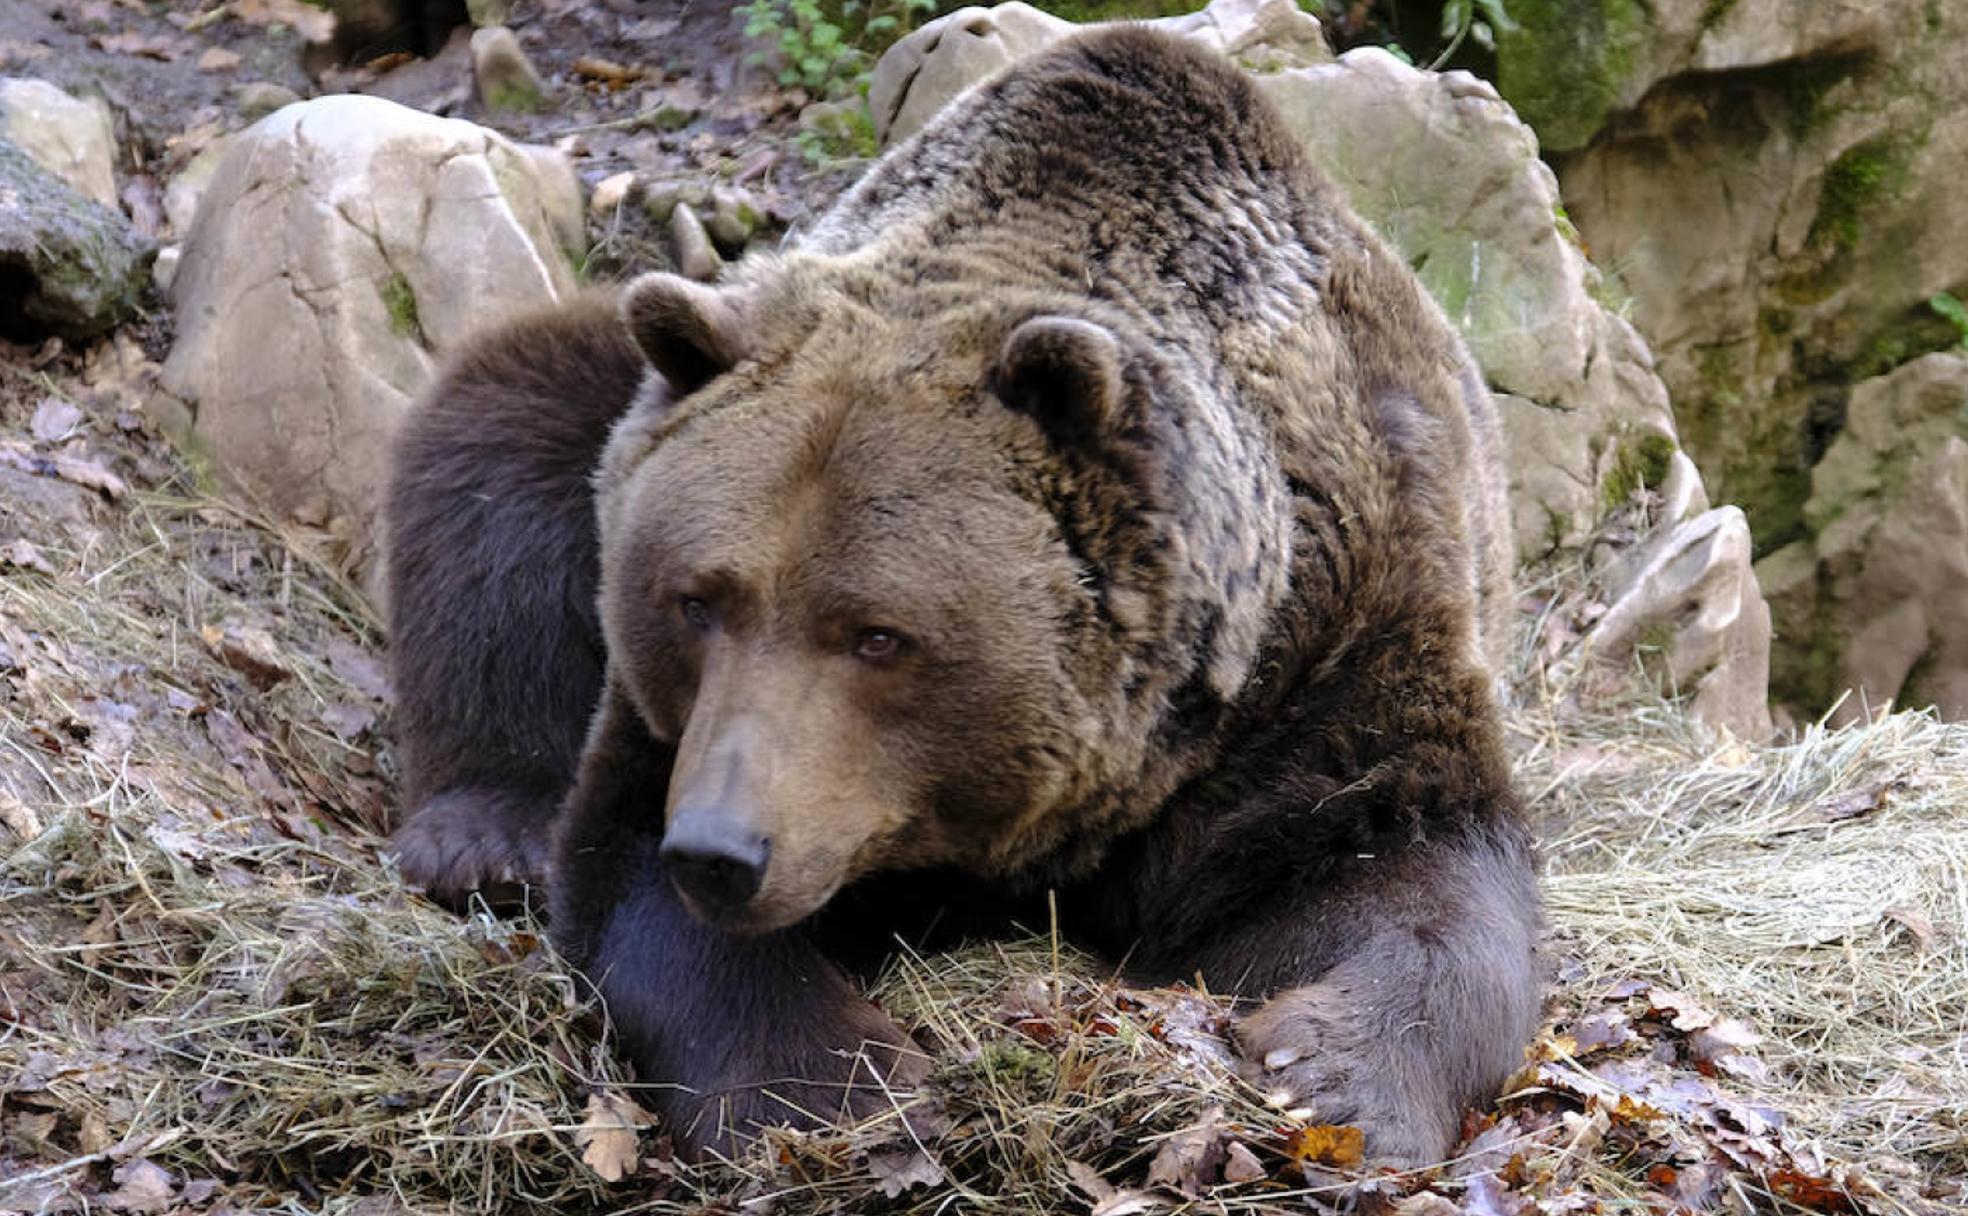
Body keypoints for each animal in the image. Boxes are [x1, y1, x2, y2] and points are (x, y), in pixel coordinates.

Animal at [383, 23, 1542, 1156]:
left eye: (876, 635)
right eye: (698, 600)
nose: (721, 850)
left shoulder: (1333, 651)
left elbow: (1404, 862)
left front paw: (1334, 1078)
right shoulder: (680, 736)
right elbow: (630, 877)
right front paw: (840, 1097)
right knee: (503, 427)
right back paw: (482, 842)